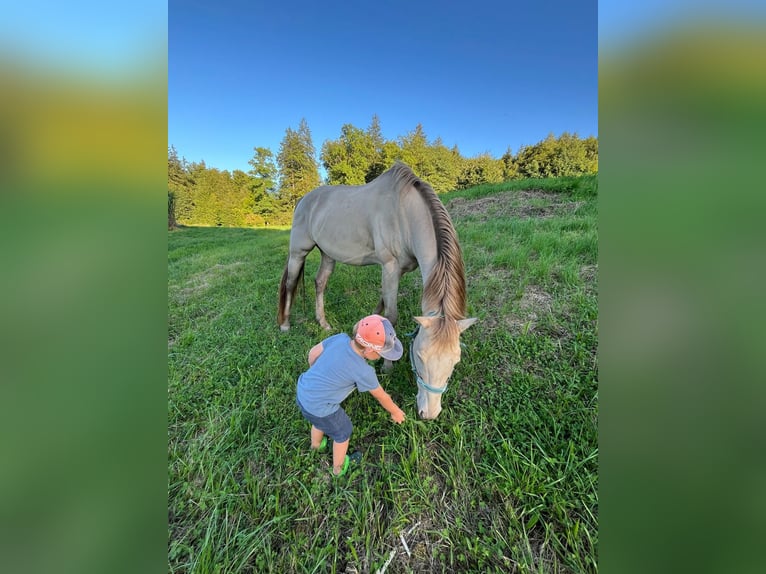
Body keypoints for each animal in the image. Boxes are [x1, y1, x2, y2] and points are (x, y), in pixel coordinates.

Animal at [277, 162, 477, 419]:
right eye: (420, 356)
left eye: (455, 361)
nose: (429, 413)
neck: (404, 213)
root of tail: (304, 199)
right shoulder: (389, 266)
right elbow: (391, 316)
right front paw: (387, 365)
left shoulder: (397, 271)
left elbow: (382, 308)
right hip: (298, 252)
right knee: (290, 284)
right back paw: (285, 324)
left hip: (328, 254)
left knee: (320, 283)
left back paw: (323, 323)